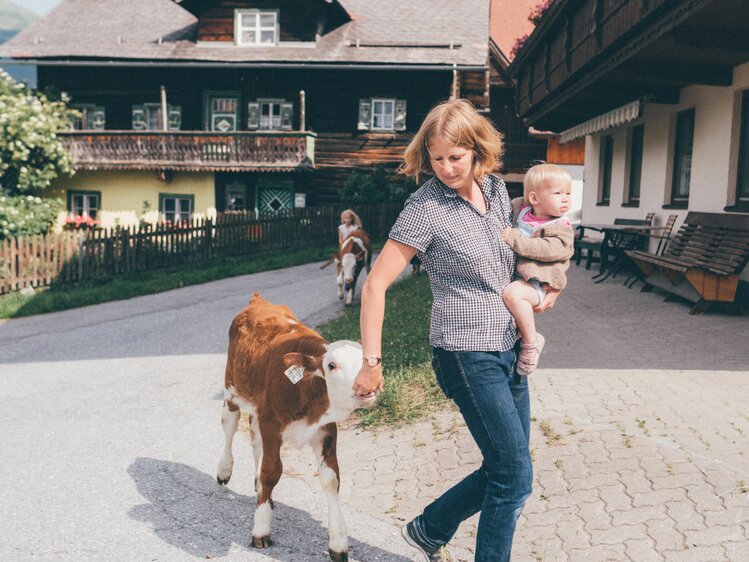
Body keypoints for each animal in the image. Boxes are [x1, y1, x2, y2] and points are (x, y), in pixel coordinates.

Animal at [216, 290, 380, 556]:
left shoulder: (326, 429)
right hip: (232, 385)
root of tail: (258, 301)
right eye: (331, 365)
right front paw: (260, 530)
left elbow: (331, 479)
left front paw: (338, 541)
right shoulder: (271, 423)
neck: (306, 388)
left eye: (369, 361)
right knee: (230, 424)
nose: (368, 386)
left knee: (255, 440)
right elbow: (271, 471)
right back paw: (224, 470)